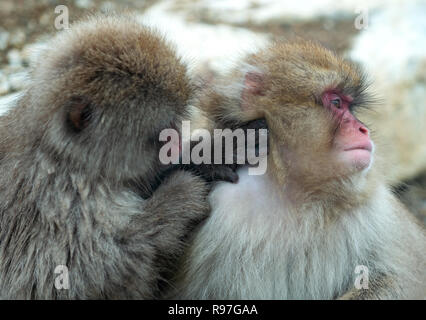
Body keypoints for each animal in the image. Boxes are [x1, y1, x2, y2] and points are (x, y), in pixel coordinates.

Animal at [0, 15, 216, 300]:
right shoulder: (58, 203)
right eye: (163, 134)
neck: (71, 162)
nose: (177, 144)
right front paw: (177, 197)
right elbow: (76, 277)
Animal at [175, 40, 426, 300]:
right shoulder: (219, 207)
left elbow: (400, 279)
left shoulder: (378, 211)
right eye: (336, 103)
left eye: (350, 107)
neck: (296, 194)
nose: (362, 129)